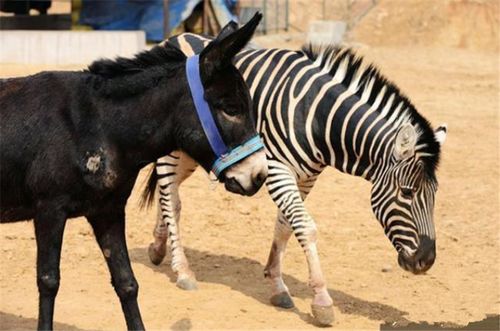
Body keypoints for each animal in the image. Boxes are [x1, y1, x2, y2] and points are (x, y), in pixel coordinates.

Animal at [143, 29, 448, 326]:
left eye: (435, 195)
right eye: (407, 192)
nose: (426, 261)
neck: (318, 119)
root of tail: (175, 36)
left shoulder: (306, 177)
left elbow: (285, 226)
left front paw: (277, 284)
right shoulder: (276, 167)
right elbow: (305, 227)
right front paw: (322, 301)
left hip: (195, 153)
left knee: (169, 192)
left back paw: (159, 246)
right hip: (176, 150)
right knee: (170, 197)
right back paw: (183, 271)